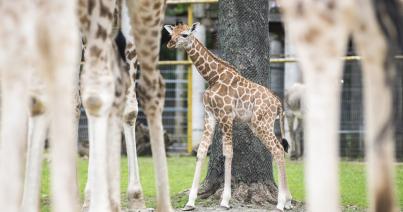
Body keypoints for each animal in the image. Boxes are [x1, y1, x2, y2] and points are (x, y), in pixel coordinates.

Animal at [164, 23, 294, 210]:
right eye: (171, 33)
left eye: (184, 34)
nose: (170, 44)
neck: (212, 77)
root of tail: (278, 104)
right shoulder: (210, 115)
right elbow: (201, 151)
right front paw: (190, 202)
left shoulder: (226, 115)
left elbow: (228, 153)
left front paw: (225, 200)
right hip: (259, 124)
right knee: (279, 149)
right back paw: (288, 201)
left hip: (262, 123)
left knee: (277, 149)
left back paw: (281, 203)